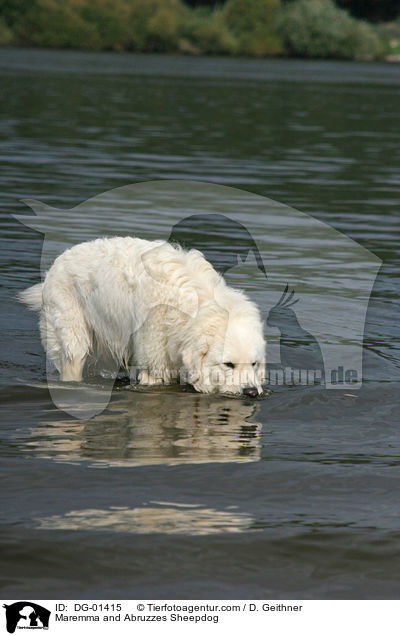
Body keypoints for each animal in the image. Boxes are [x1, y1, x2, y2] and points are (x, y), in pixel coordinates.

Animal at [19, 238, 266, 398]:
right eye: (228, 364)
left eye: (254, 364)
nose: (251, 392)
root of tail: (59, 260)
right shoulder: (155, 367)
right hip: (73, 341)